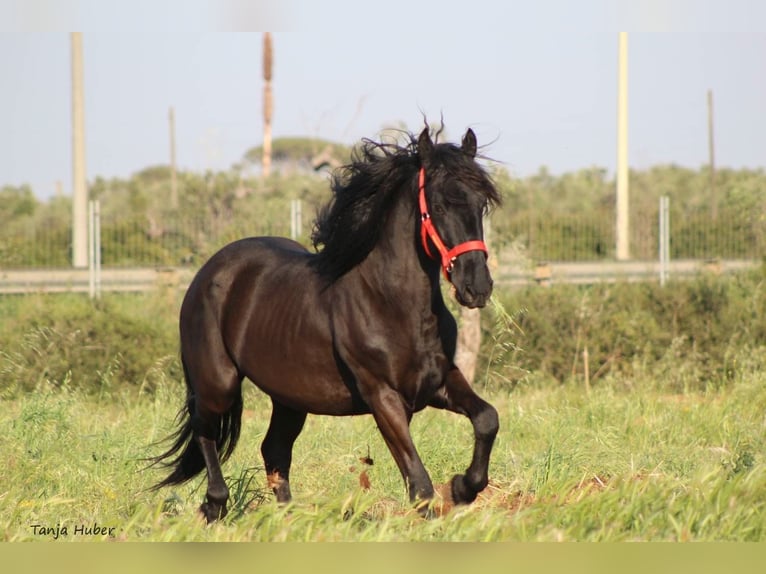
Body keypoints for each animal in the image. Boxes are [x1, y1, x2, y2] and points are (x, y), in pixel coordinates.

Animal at [153, 127, 508, 528]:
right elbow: (419, 482)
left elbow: (487, 419)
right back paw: (214, 506)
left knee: (273, 449)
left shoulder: (439, 381)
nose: (477, 287)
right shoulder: (383, 396)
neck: (394, 304)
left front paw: (464, 487)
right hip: (219, 383)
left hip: (290, 398)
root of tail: (207, 272)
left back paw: (291, 520)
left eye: (482, 204)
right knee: (206, 429)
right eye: (442, 203)